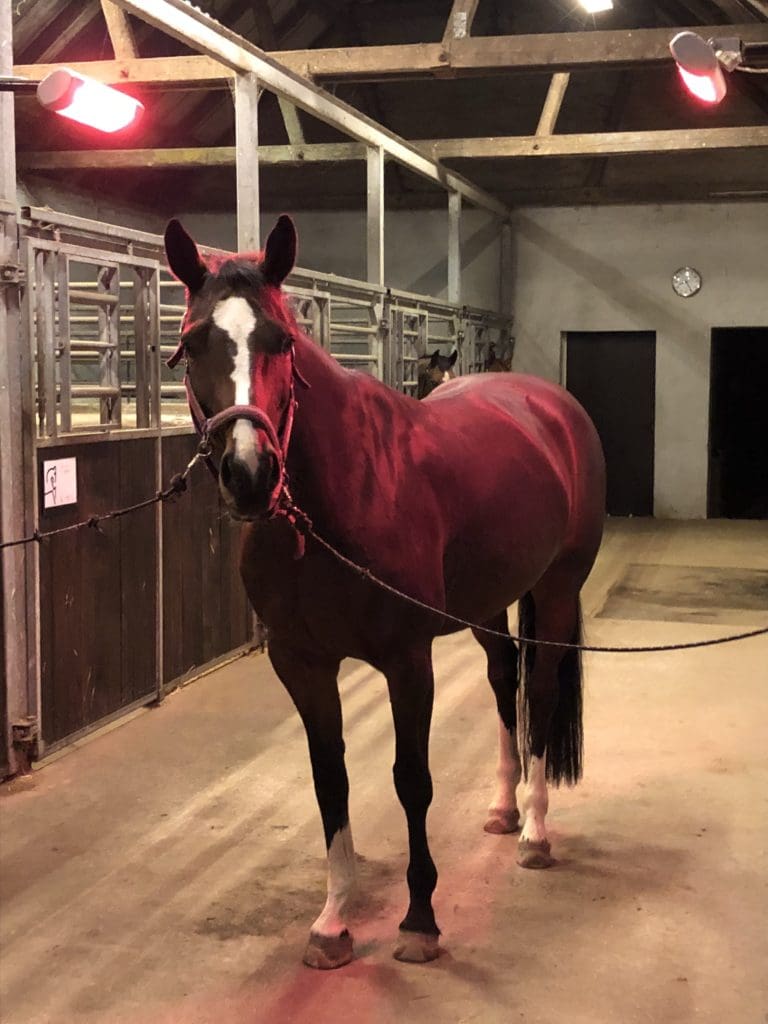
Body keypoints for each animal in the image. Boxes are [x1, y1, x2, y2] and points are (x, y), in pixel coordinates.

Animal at [164, 214, 606, 970]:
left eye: (282, 341)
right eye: (193, 344)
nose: (250, 474)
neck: (331, 507)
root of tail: (552, 405)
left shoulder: (408, 660)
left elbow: (411, 779)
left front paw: (420, 920)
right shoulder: (301, 663)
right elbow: (330, 780)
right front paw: (333, 920)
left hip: (556, 590)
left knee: (541, 693)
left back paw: (535, 833)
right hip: (488, 605)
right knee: (503, 680)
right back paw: (503, 808)